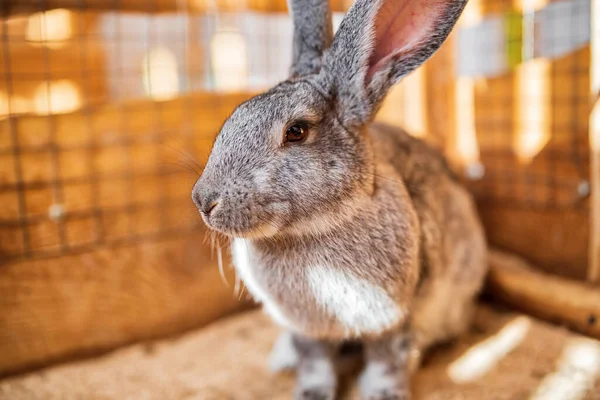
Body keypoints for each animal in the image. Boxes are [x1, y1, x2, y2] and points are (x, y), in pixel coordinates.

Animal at [192, 0, 488, 396]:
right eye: (235, 116)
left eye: (296, 131)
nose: (203, 200)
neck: (312, 231)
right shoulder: (307, 329)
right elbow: (314, 361)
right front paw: (311, 393)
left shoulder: (395, 320)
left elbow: (388, 360)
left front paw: (383, 394)